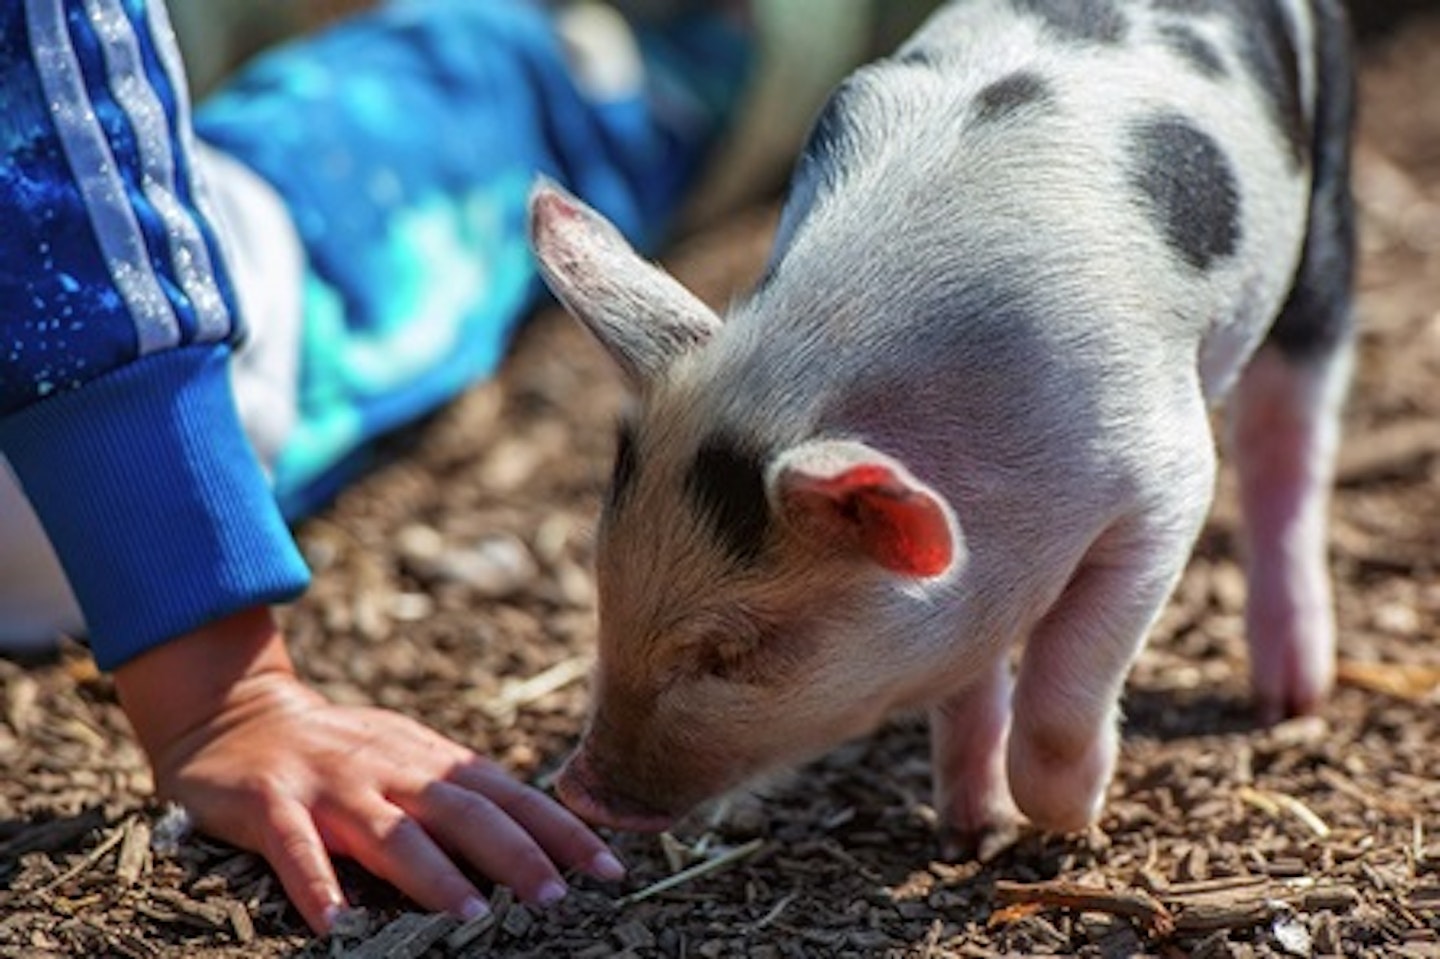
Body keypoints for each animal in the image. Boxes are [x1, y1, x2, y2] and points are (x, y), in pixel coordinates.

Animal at [528, 0, 1356, 841]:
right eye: (602, 582)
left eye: (731, 653)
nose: (577, 792)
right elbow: (967, 677)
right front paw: (974, 824)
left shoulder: (1166, 479)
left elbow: (1067, 680)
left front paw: (1065, 818)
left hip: (1322, 202)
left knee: (1289, 437)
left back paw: (1293, 696)